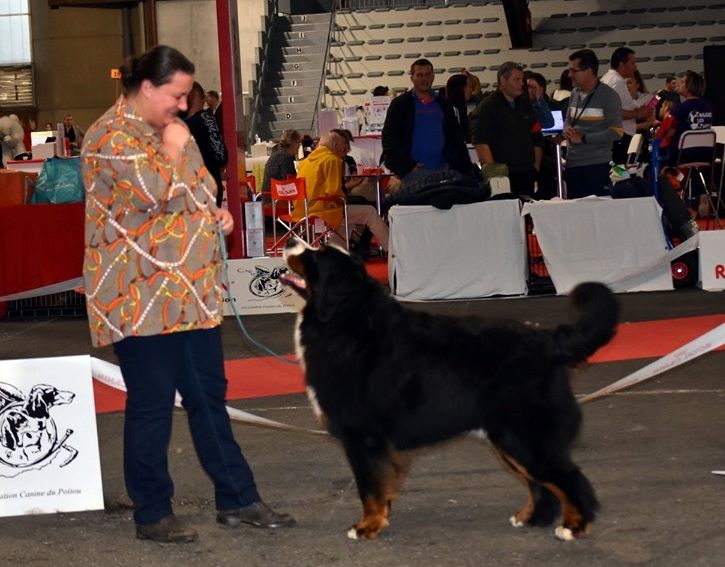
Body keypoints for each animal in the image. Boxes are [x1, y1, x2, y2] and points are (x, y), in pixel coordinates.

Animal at [280, 240, 620, 540]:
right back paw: (531, 519)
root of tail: (547, 340)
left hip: (527, 436)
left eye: (314, 256)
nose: (286, 244)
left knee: (569, 479)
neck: (347, 320)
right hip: (510, 438)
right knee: (541, 485)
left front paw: (367, 527)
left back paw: (573, 527)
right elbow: (381, 486)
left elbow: (370, 488)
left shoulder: (364, 437)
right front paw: (380, 519)